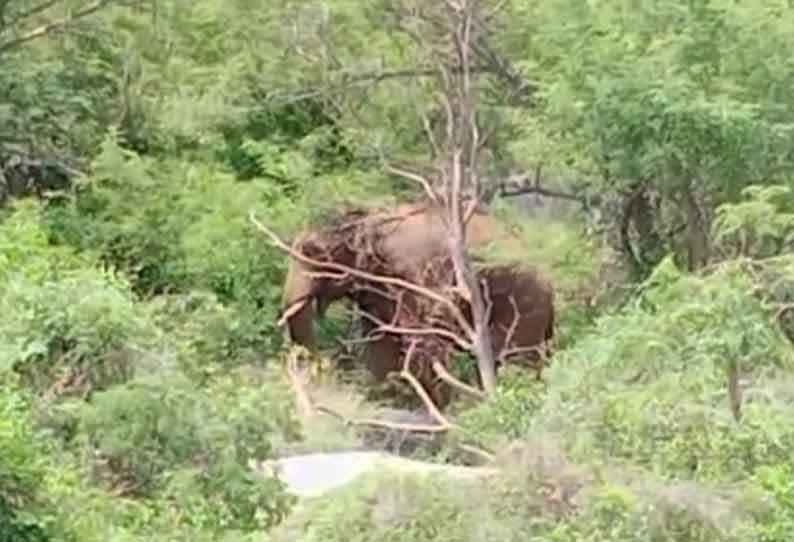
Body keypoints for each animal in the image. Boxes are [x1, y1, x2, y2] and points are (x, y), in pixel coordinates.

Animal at [282, 203, 552, 408]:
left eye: (312, 251)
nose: (321, 368)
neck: (369, 217)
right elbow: (381, 341)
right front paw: (388, 399)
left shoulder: (418, 275)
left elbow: (424, 340)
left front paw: (438, 408)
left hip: (524, 302)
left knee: (515, 358)